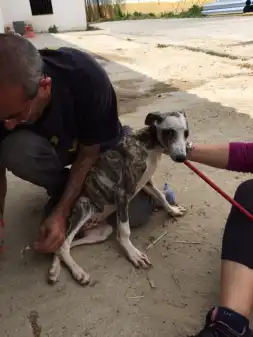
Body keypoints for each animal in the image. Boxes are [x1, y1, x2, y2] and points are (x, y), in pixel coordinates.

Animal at [48, 110, 189, 284]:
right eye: (169, 132)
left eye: (186, 133)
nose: (182, 157)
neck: (148, 147)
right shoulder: (121, 193)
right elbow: (124, 231)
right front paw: (133, 253)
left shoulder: (146, 183)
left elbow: (161, 196)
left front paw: (173, 210)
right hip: (85, 207)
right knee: (63, 246)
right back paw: (78, 272)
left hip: (101, 232)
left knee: (60, 247)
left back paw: (54, 270)